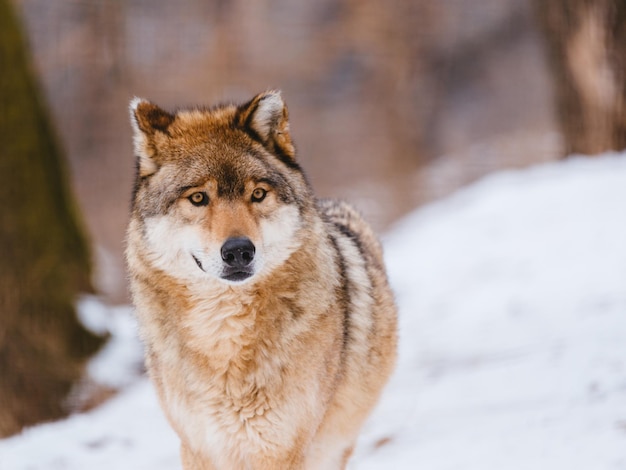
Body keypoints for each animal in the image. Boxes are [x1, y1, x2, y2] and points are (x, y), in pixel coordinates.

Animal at [125, 90, 394, 468]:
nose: (239, 251)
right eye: (198, 198)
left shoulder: (280, 450)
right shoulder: (199, 448)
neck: (224, 334)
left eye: (257, 194)